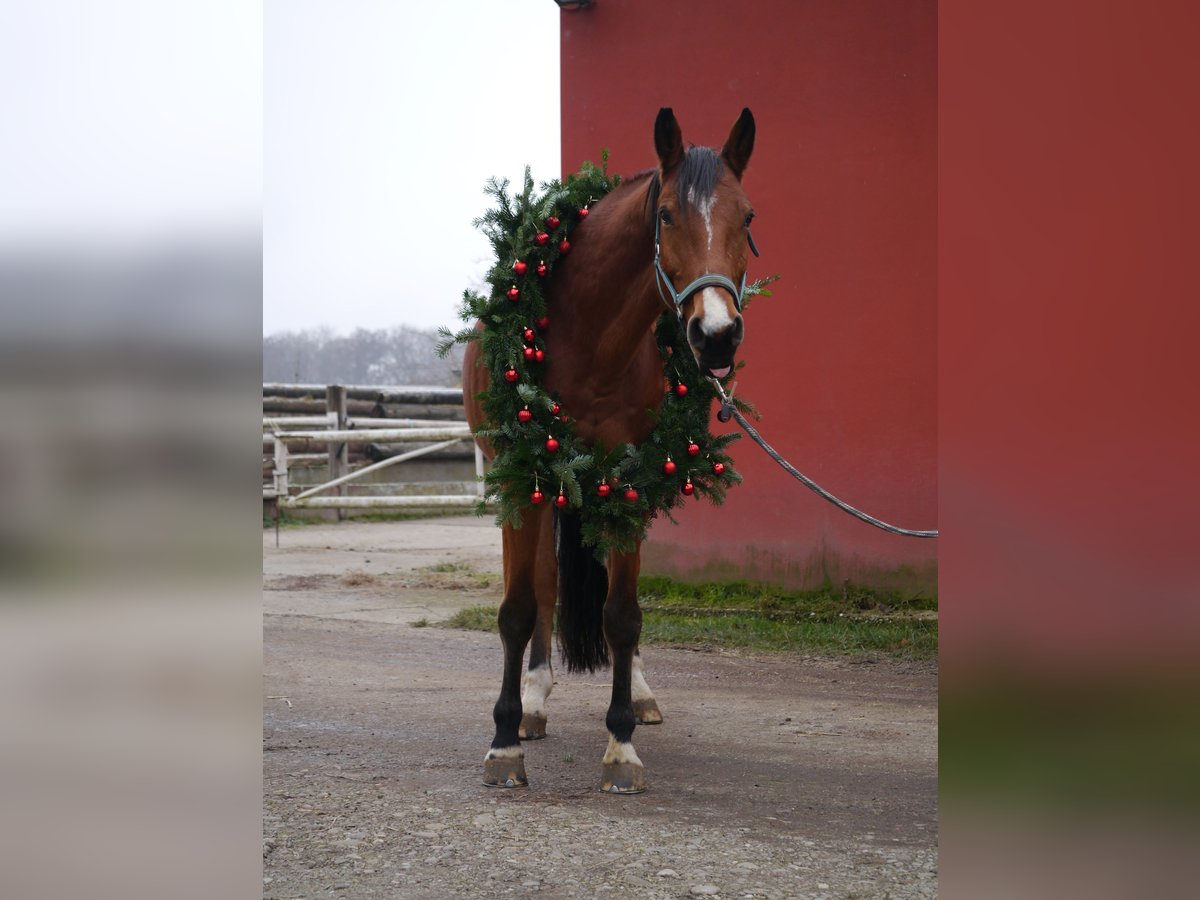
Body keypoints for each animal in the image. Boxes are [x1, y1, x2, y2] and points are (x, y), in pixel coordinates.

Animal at [463, 107, 753, 796]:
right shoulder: (519, 483)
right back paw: (534, 702)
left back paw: (639, 695)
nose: (716, 335)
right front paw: (504, 741)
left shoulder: (631, 481)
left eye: (748, 217)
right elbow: (518, 609)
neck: (587, 336)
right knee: (543, 587)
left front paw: (620, 744)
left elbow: (623, 615)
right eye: (667, 214)